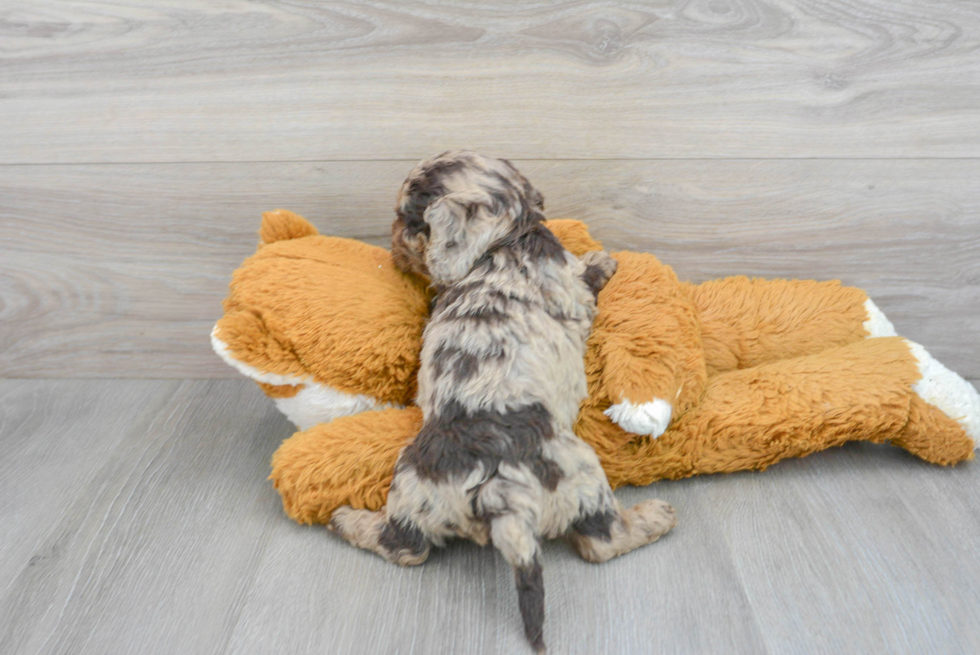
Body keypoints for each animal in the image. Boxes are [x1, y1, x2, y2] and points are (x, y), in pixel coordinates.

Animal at [330, 151, 672, 652]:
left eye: (407, 221)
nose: (391, 244)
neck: (508, 241)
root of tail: (498, 496)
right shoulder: (570, 288)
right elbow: (584, 277)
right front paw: (601, 260)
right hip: (583, 472)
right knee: (600, 541)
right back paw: (654, 517)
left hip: (412, 486)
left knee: (405, 546)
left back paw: (346, 520)